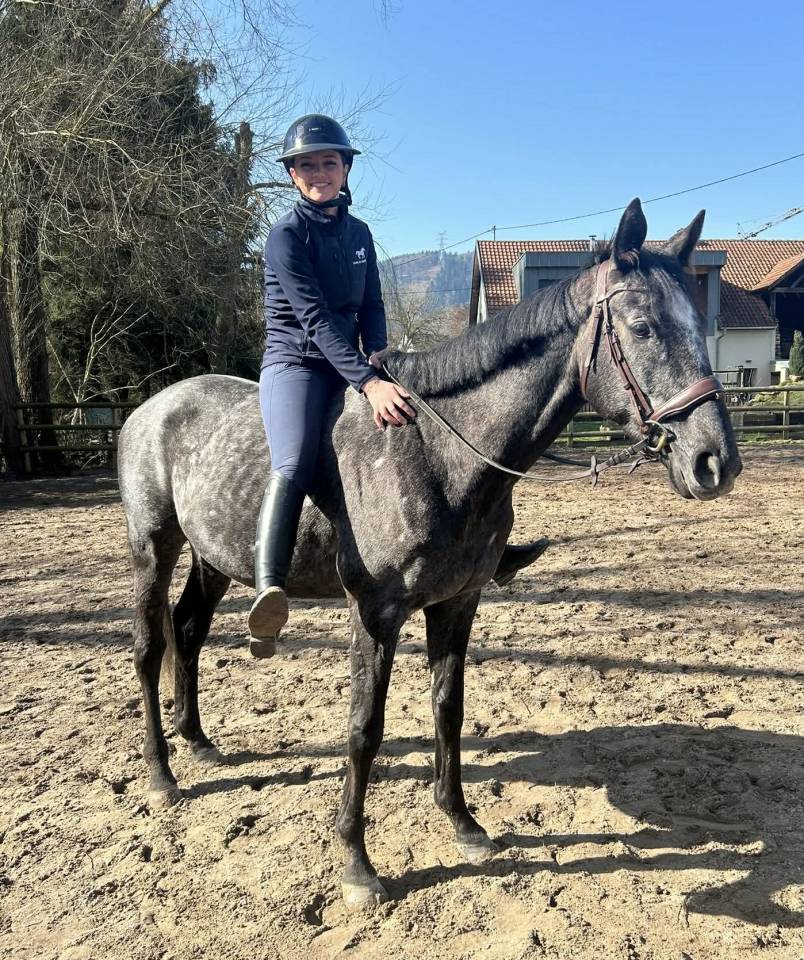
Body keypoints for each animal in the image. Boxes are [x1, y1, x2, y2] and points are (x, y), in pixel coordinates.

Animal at [117, 199, 742, 909]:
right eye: (641, 326)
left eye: (698, 323)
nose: (715, 463)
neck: (438, 451)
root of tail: (151, 407)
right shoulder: (376, 614)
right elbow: (364, 727)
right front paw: (357, 864)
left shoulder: (457, 603)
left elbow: (449, 708)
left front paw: (463, 823)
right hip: (153, 547)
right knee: (151, 646)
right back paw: (161, 774)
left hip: (213, 558)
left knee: (190, 630)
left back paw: (196, 742)